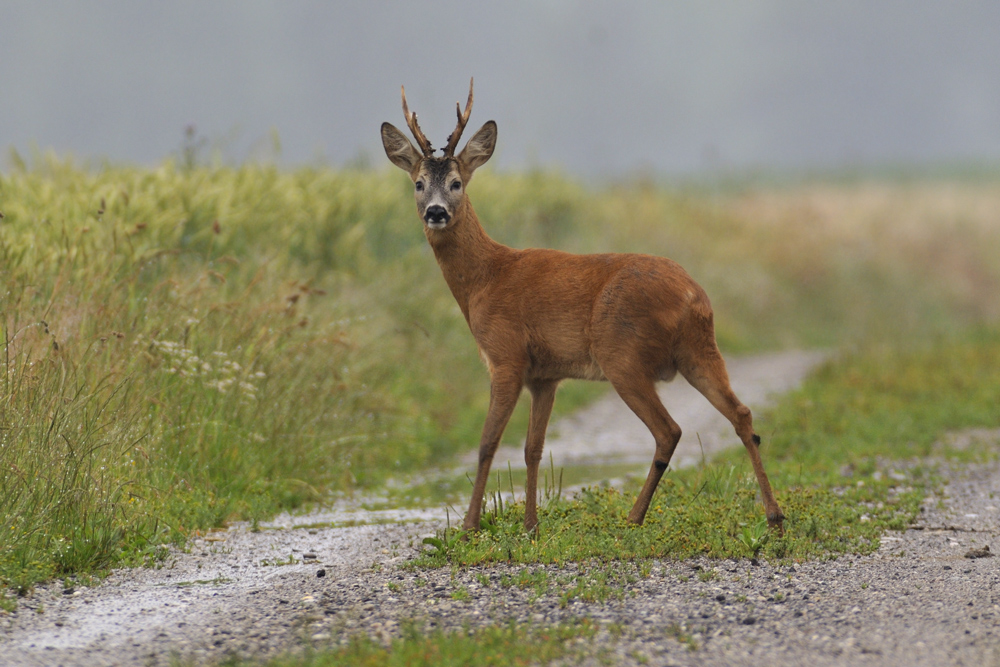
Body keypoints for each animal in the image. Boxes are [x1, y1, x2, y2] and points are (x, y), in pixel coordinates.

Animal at [378, 79, 784, 536]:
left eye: (456, 183)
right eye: (417, 183)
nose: (435, 212)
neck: (485, 279)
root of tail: (693, 294)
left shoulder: (505, 356)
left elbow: (487, 443)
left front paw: (470, 526)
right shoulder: (545, 376)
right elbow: (533, 448)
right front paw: (531, 526)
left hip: (622, 354)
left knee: (670, 430)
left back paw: (634, 517)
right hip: (700, 349)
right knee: (741, 414)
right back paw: (774, 514)